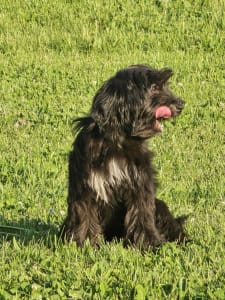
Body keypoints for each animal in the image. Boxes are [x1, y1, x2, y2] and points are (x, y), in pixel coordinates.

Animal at [60, 64, 187, 250]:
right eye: (154, 87)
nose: (181, 104)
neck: (117, 141)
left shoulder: (140, 183)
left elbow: (142, 214)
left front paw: (149, 244)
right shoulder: (86, 187)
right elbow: (85, 215)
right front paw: (86, 244)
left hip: (160, 206)